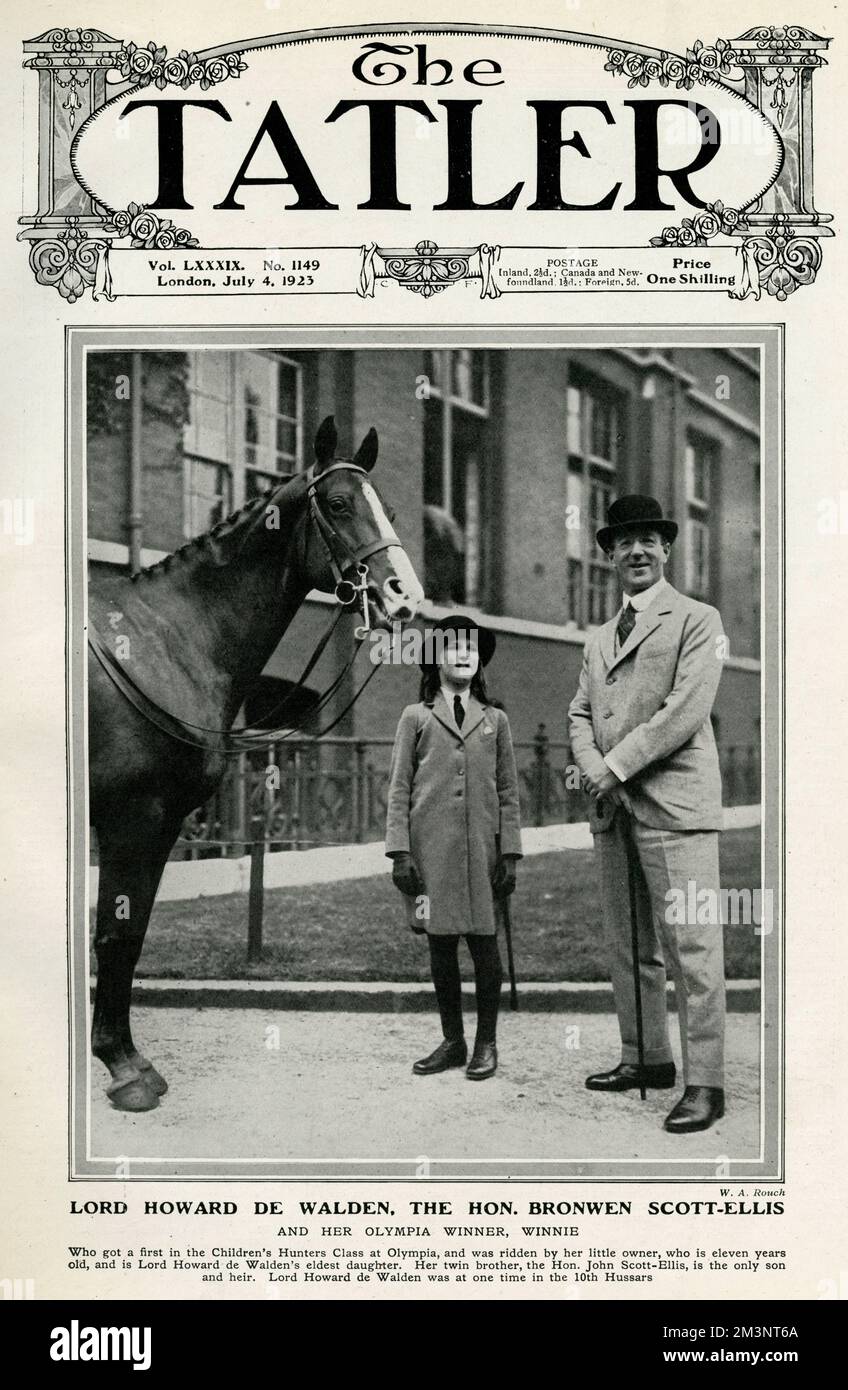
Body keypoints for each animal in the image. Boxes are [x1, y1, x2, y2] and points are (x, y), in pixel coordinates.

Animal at [85, 417, 422, 1112]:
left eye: (389, 509)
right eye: (339, 504)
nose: (405, 597)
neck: (162, 643)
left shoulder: (159, 827)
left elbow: (132, 935)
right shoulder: (133, 819)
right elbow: (116, 935)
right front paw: (125, 1068)